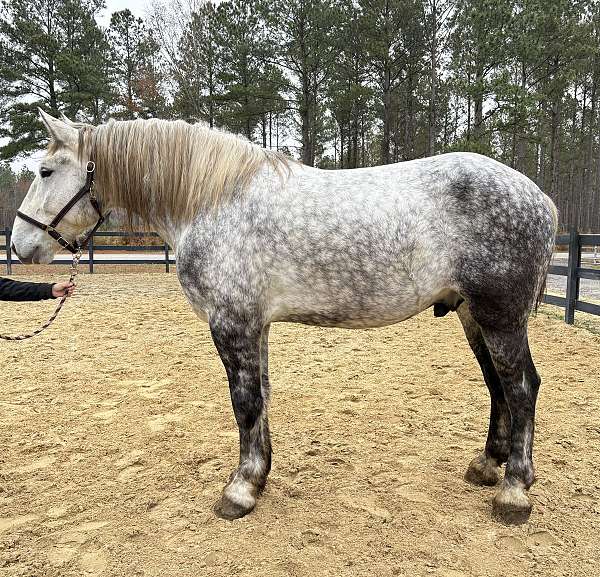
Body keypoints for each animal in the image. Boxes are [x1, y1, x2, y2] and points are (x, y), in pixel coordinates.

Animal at [10, 110, 556, 524]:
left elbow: (245, 402)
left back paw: (513, 493)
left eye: (45, 171)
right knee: (498, 386)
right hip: (473, 315)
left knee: (521, 387)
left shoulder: (232, 322)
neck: (212, 201)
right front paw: (259, 477)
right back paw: (488, 466)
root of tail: (540, 198)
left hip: (500, 317)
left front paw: (239, 490)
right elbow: (262, 398)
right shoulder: (256, 325)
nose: (20, 245)